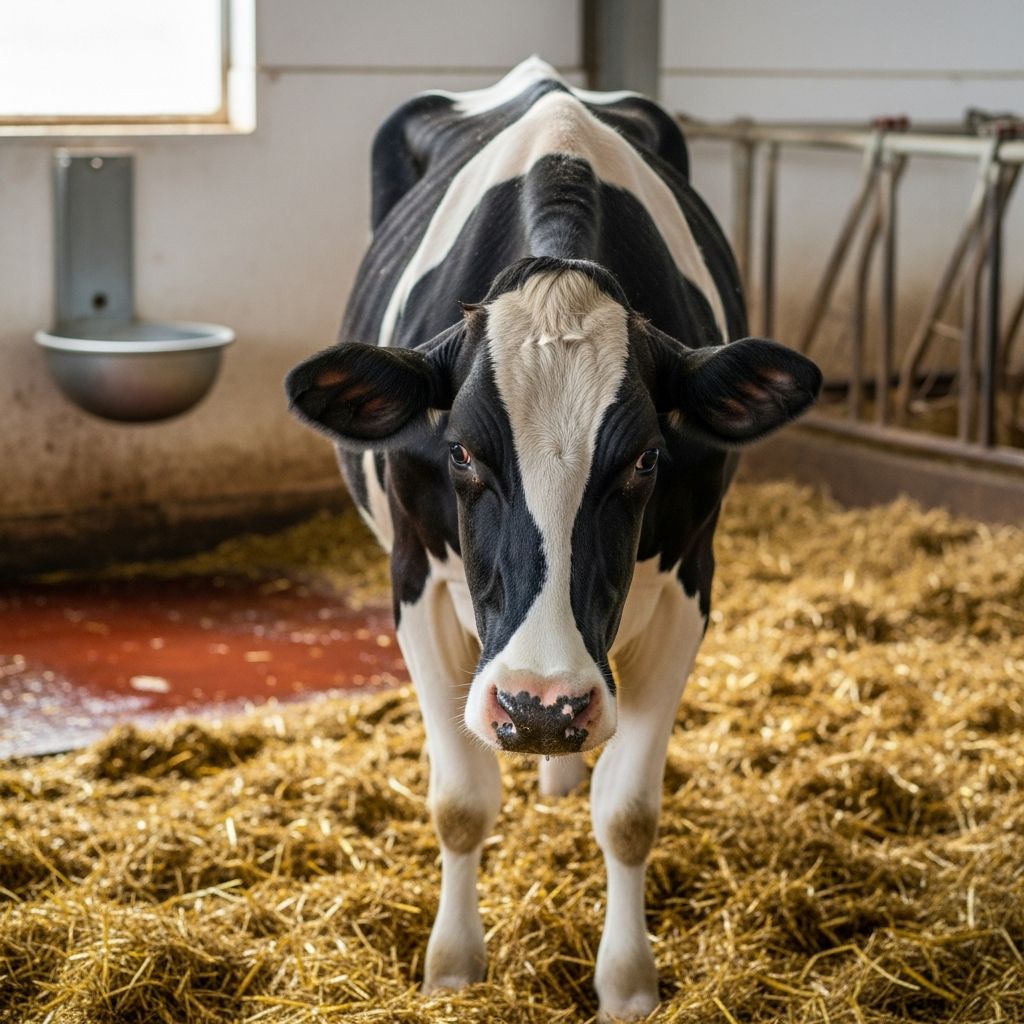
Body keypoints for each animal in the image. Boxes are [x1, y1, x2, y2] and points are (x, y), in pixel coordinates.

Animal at [286, 57, 821, 1021]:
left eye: (646, 458)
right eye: (461, 451)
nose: (541, 705)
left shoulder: (690, 582)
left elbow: (629, 813)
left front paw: (628, 982)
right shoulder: (415, 582)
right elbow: (461, 800)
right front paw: (453, 965)